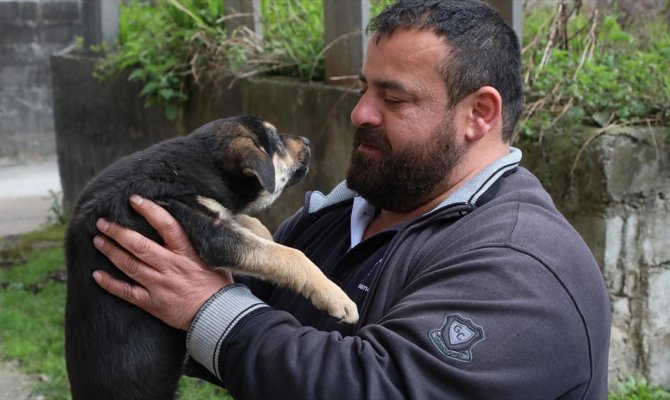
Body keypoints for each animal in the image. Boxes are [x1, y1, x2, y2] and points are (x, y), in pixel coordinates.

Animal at [65, 115, 360, 400]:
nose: (307, 141)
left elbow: (253, 225)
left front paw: (269, 235)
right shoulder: (207, 231)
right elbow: (290, 254)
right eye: (275, 140)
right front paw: (337, 298)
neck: (198, 164)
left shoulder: (219, 215)